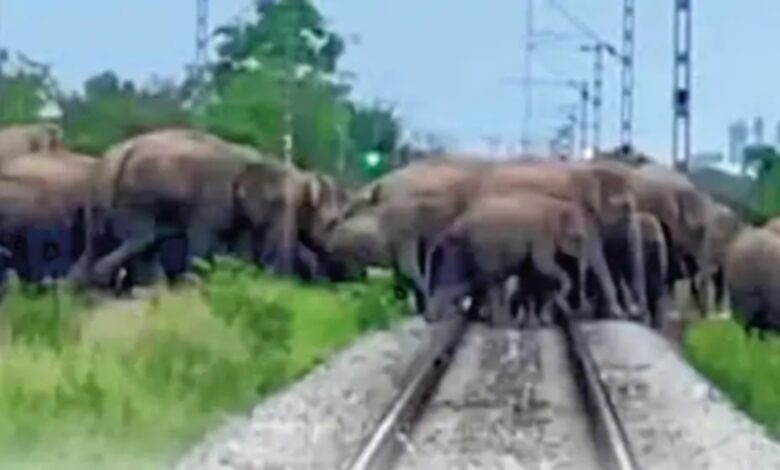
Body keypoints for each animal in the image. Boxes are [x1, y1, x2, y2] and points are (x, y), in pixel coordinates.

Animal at [422, 192, 594, 323]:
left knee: (467, 281)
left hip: (463, 247)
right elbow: (543, 265)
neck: (557, 204)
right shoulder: (541, 235)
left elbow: (530, 272)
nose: (580, 310)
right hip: (484, 246)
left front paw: (537, 320)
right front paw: (540, 319)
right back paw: (501, 322)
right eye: (577, 238)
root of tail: (456, 224)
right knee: (489, 280)